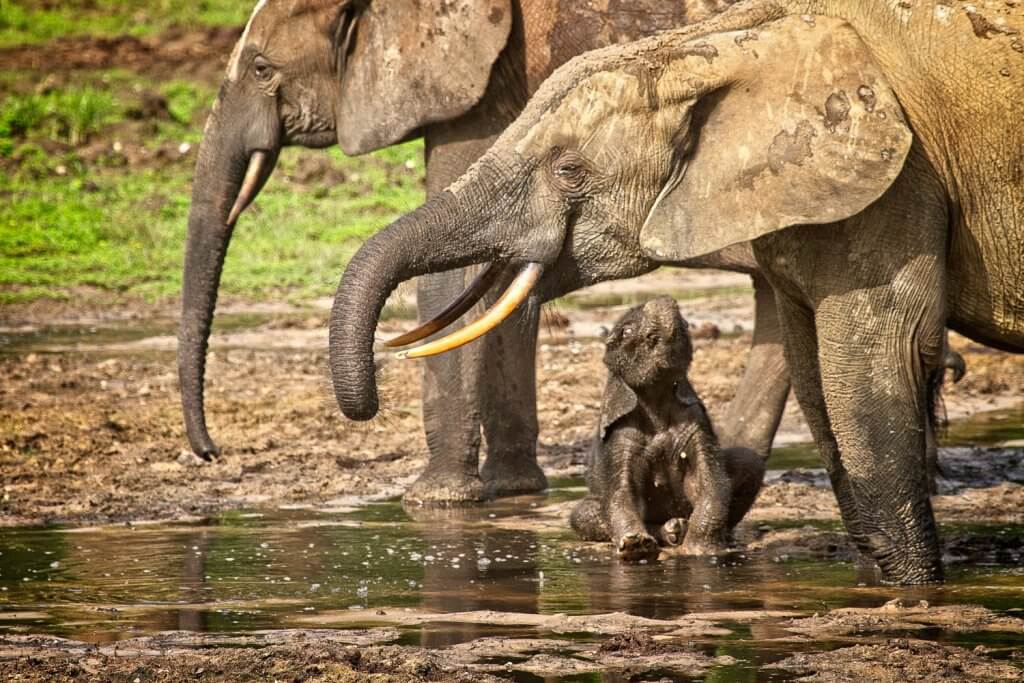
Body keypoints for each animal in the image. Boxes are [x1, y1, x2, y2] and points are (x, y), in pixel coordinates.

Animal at [178, 0, 793, 505]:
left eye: (261, 69)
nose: (212, 453)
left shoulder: (480, 89)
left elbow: (457, 282)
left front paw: (435, 501)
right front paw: (512, 489)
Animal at [569, 298, 765, 560]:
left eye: (686, 322)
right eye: (626, 331)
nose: (661, 298)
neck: (657, 397)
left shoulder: (695, 418)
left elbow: (710, 479)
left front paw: (701, 551)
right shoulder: (620, 433)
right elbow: (621, 492)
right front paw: (636, 546)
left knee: (750, 462)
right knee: (581, 513)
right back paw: (672, 530)